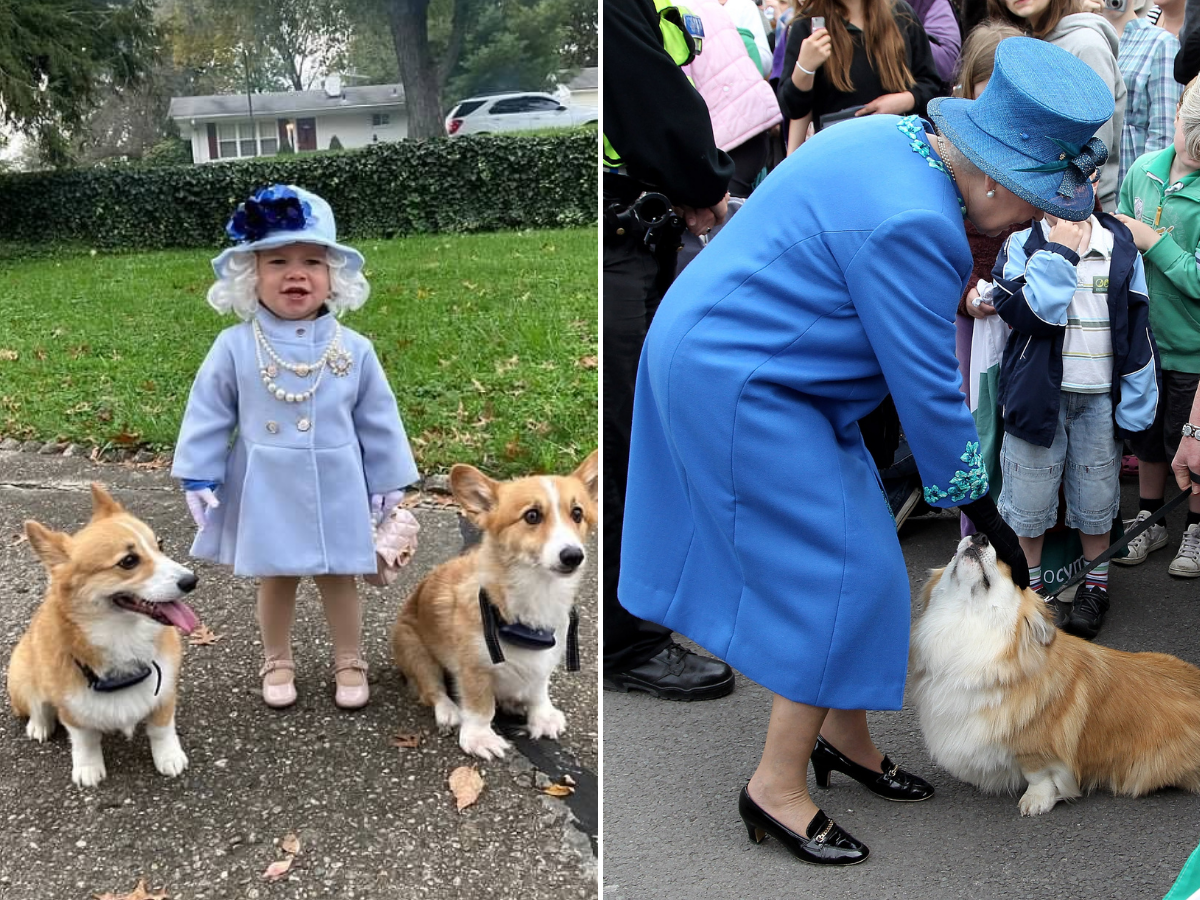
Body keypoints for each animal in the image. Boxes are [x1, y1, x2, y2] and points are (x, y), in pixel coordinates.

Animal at [7, 482, 199, 787]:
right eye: (129, 561)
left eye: (160, 545)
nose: (192, 580)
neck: (124, 637)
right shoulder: (71, 709)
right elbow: (85, 740)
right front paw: (88, 768)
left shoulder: (165, 693)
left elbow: (161, 728)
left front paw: (169, 757)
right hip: (21, 673)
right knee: (38, 705)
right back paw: (39, 725)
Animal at [393, 453, 600, 758]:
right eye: (532, 516)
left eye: (577, 513)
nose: (573, 556)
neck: (537, 592)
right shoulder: (474, 667)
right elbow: (481, 707)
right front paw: (480, 738)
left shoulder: (547, 659)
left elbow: (539, 689)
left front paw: (542, 717)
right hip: (412, 648)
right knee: (432, 689)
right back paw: (449, 712)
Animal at [907, 532, 1200, 820]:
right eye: (952, 557)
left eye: (1007, 568)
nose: (979, 536)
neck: (967, 630)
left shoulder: (1036, 749)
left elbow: (1039, 775)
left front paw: (1036, 801)